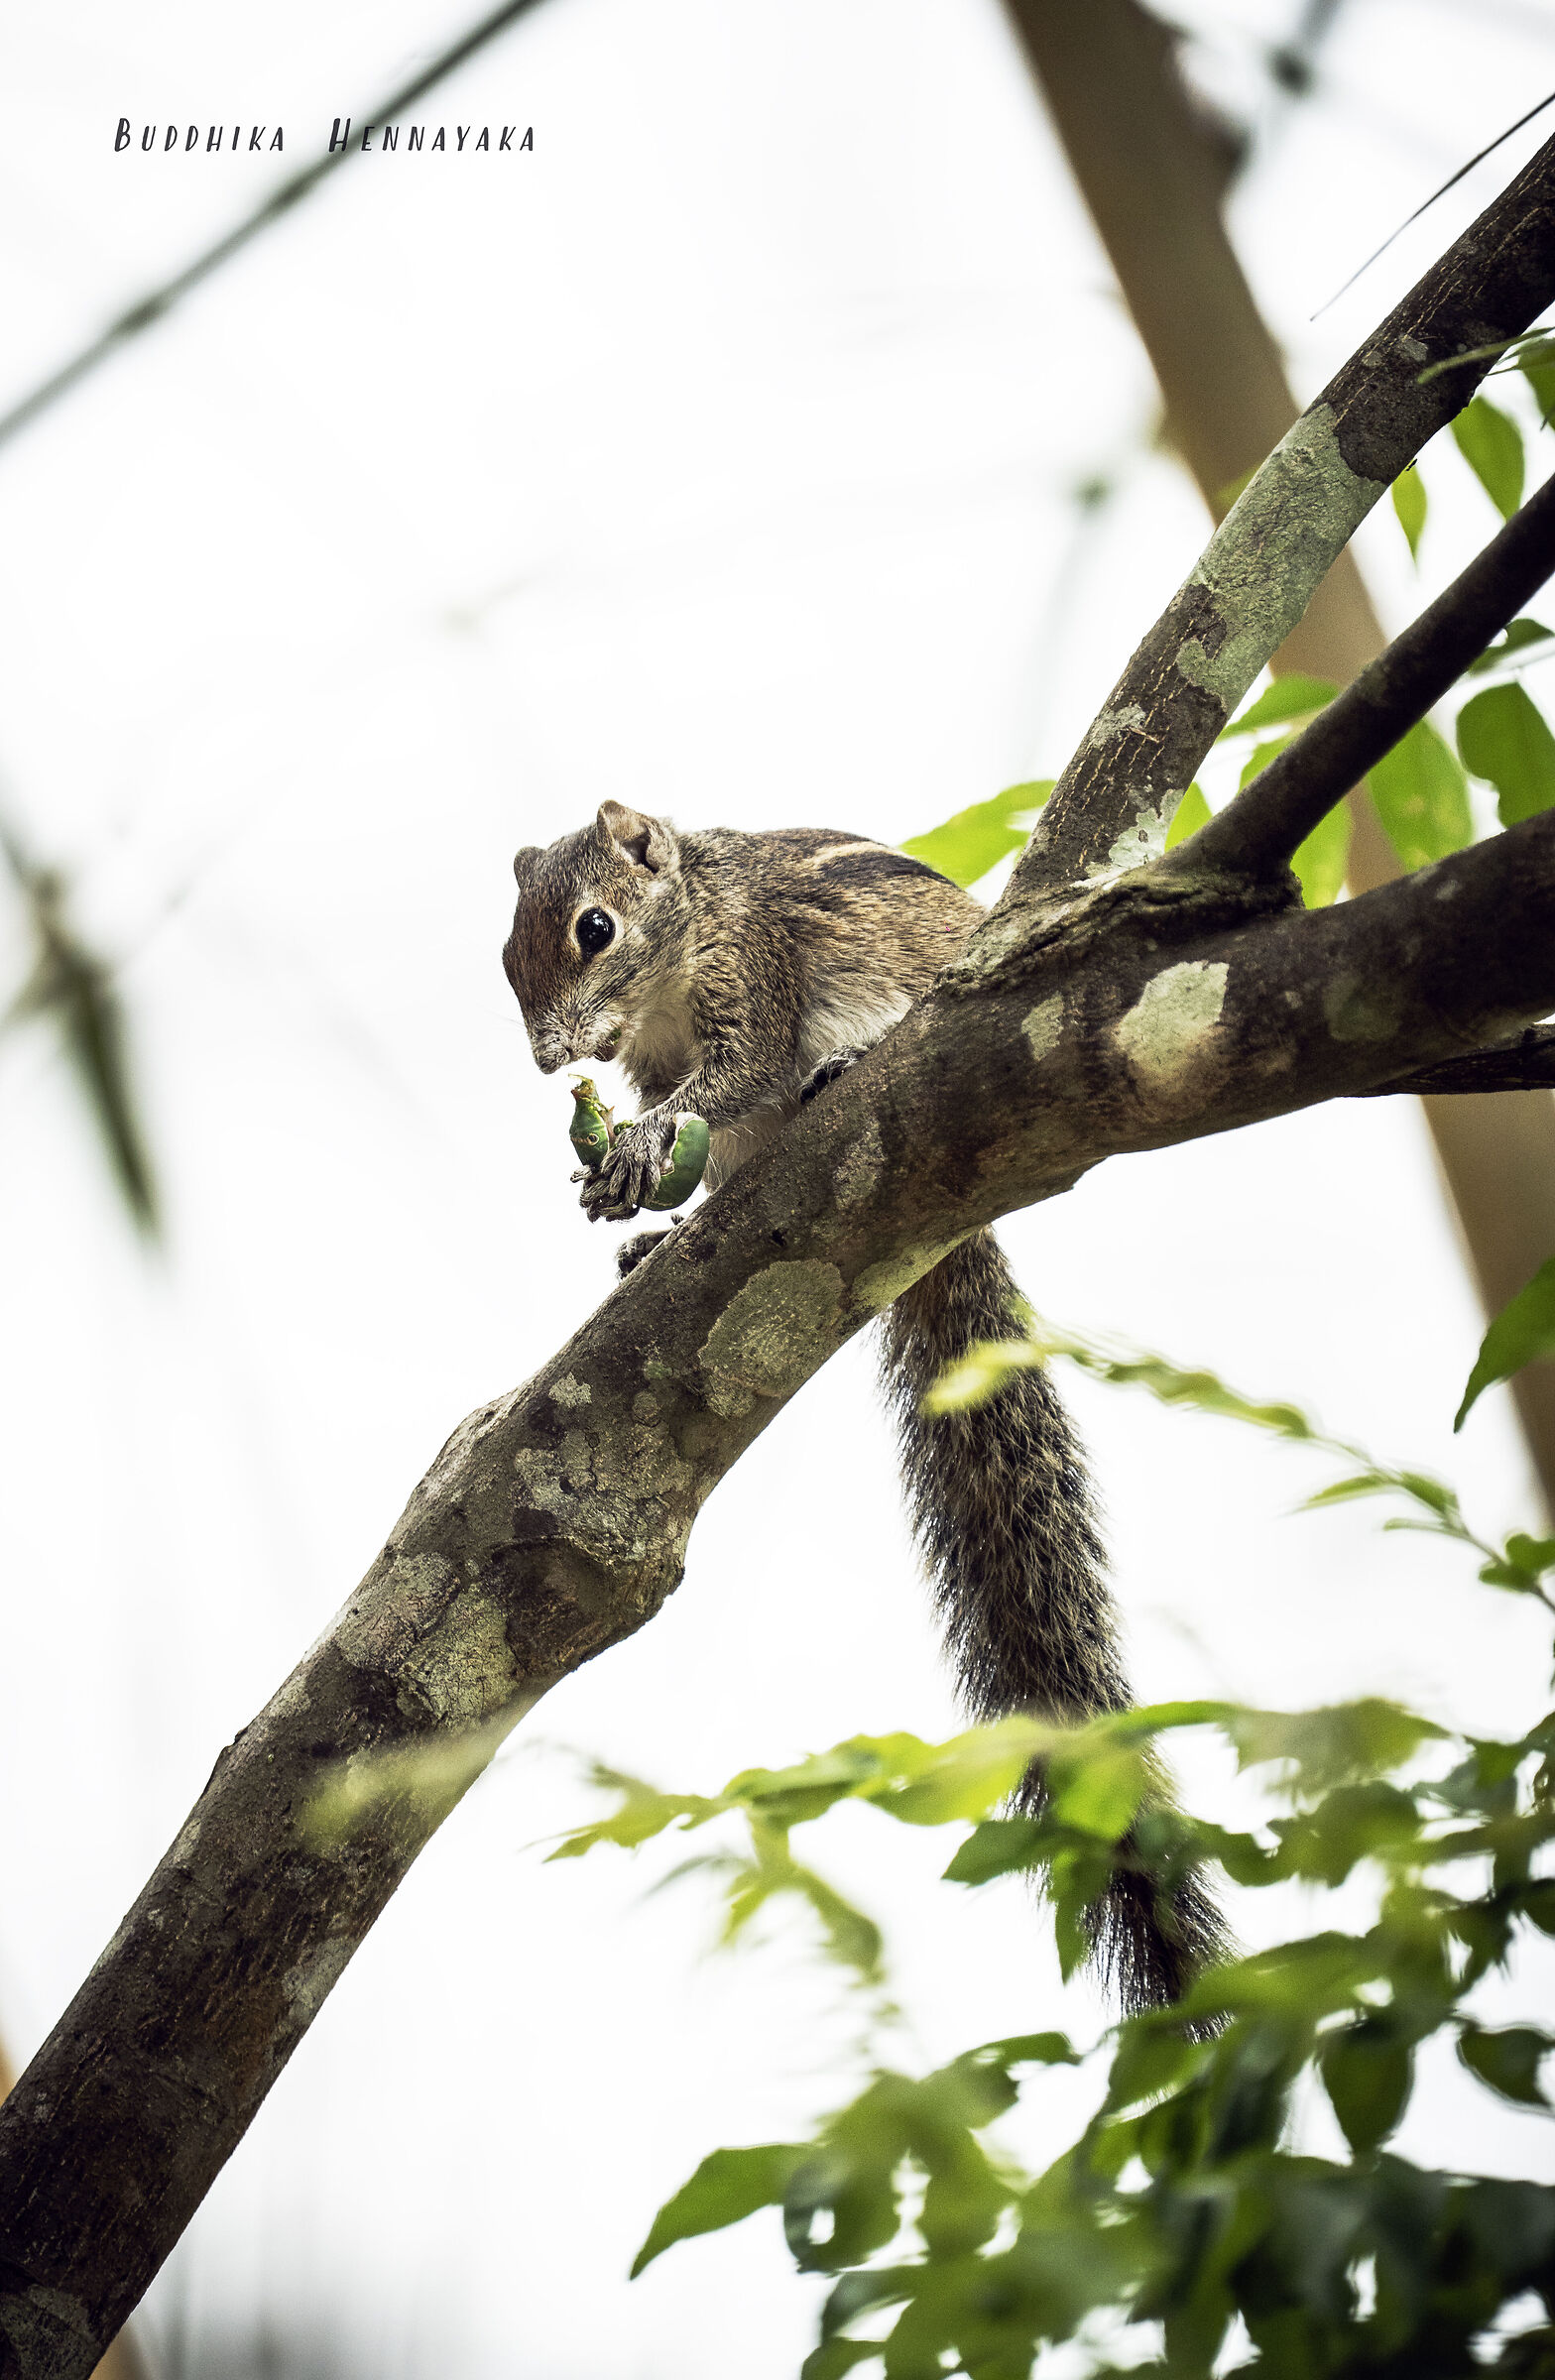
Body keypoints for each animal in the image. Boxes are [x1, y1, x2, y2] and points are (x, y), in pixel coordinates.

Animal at [502, 799, 1225, 2013]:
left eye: (594, 928)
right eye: (508, 954)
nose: (554, 1059)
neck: (678, 953)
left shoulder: (749, 980)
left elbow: (738, 1077)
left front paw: (641, 1150)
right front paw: (640, 1193)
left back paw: (840, 1064)